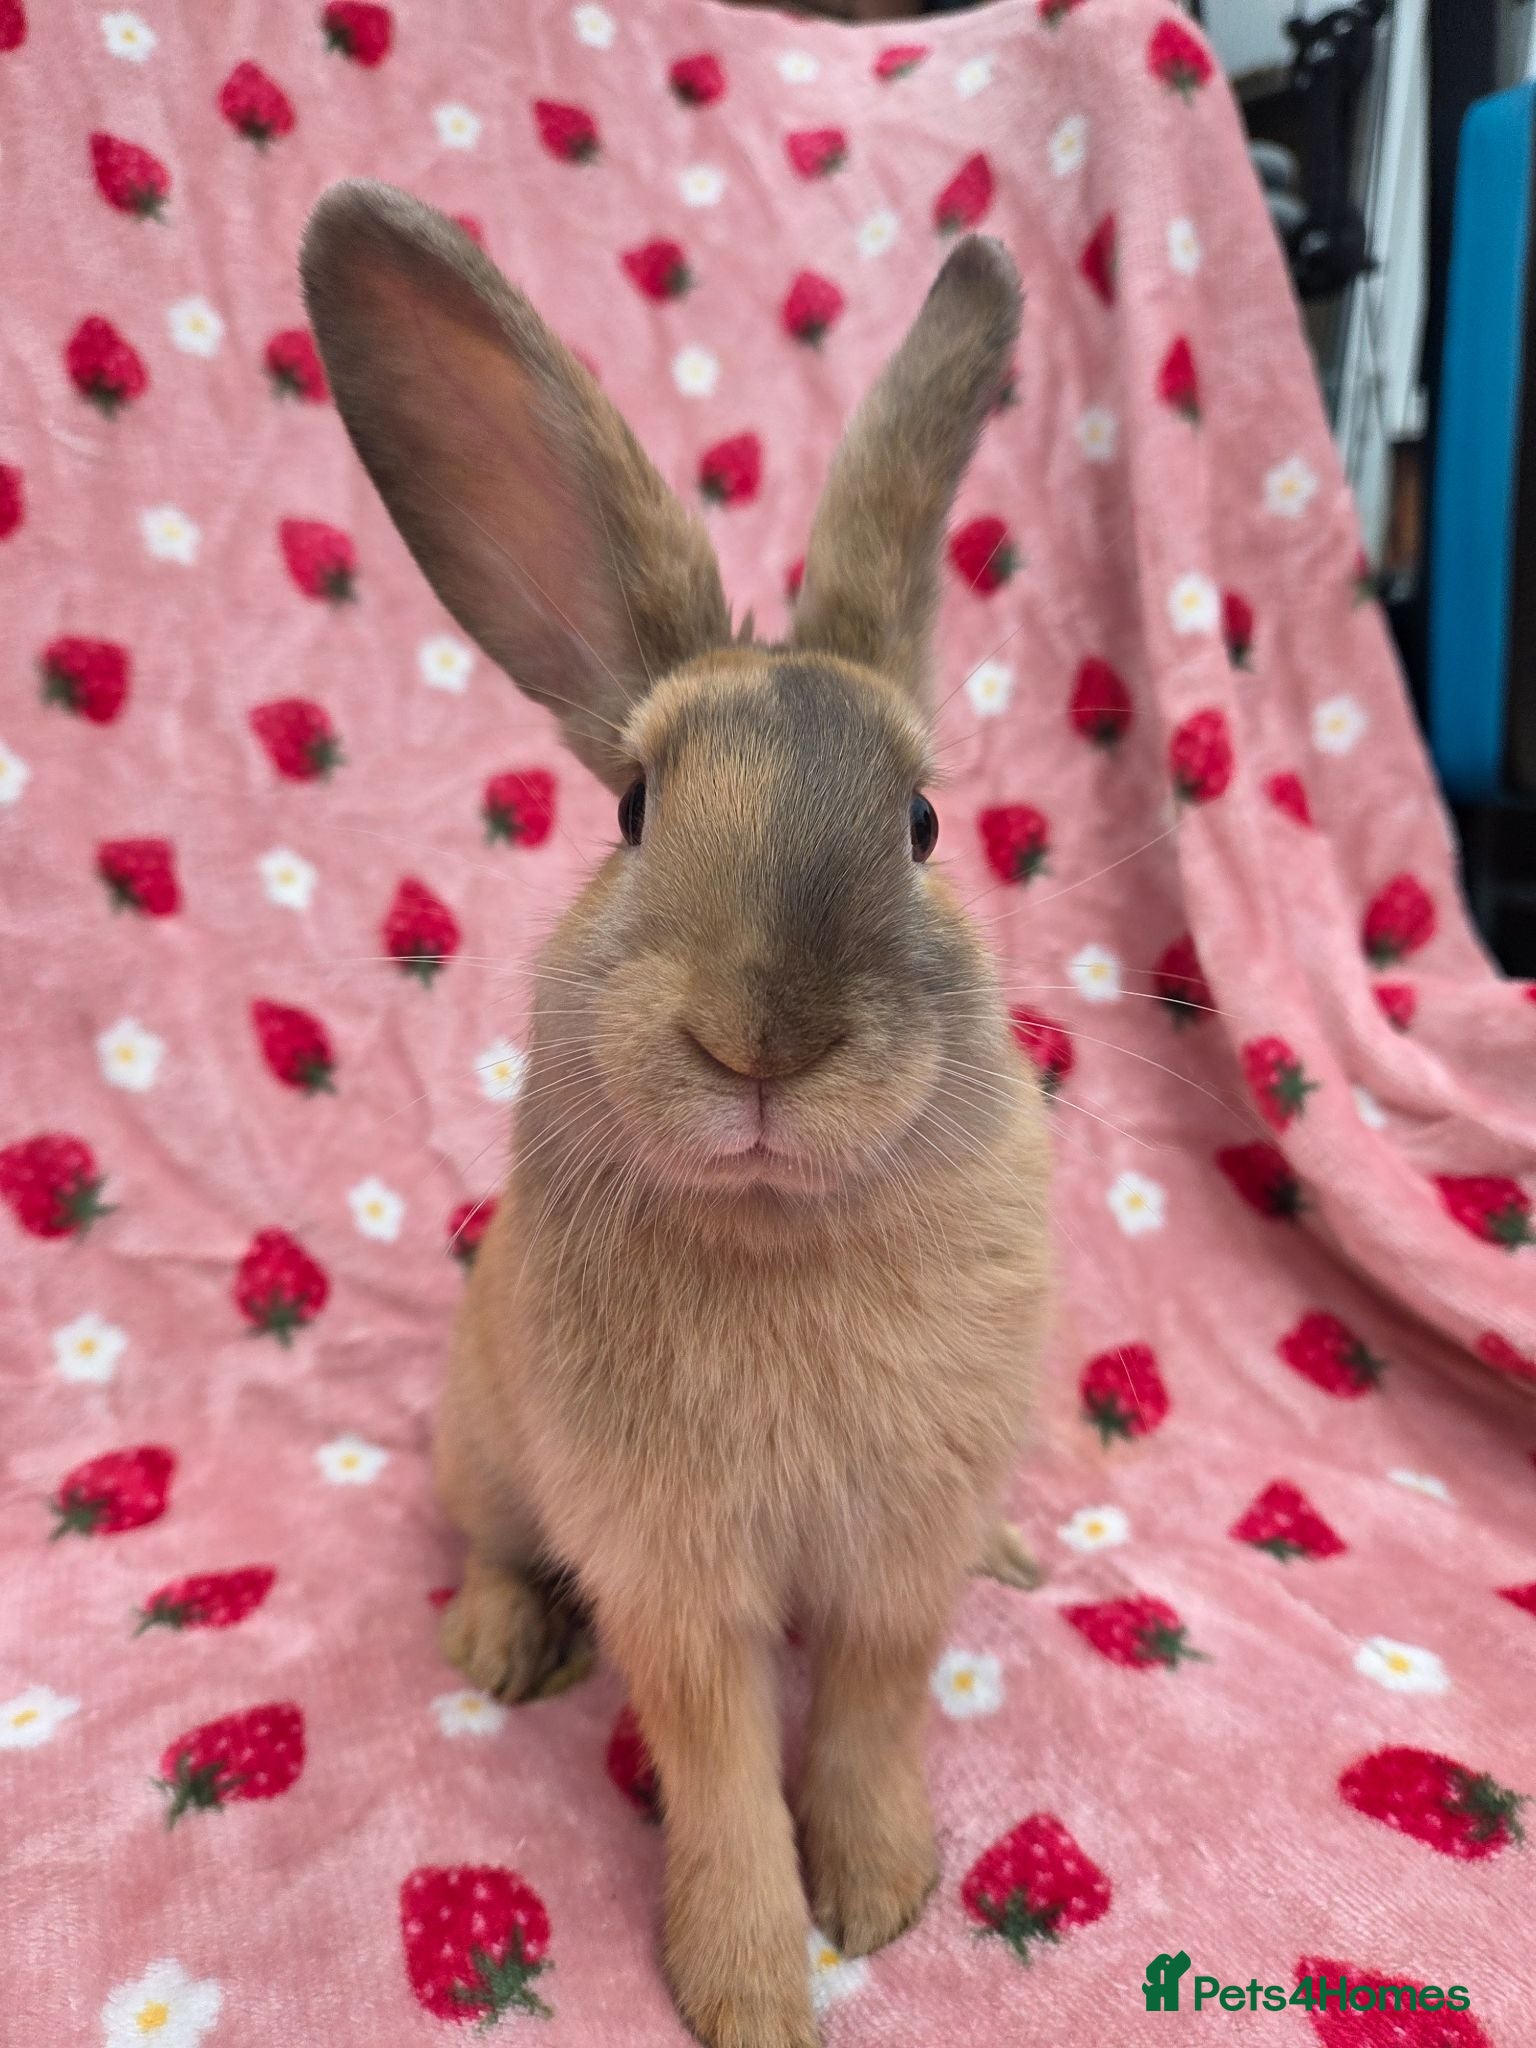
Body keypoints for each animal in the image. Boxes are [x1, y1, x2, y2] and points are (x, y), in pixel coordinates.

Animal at [302, 181, 1050, 2048]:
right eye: (636, 805)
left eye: (925, 823)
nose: (760, 1037)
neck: (781, 1230)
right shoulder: (676, 1585)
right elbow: (717, 1775)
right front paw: (758, 1986)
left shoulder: (896, 1561)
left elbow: (870, 1713)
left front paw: (880, 1890)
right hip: (488, 1457)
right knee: (488, 1546)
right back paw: (499, 1648)